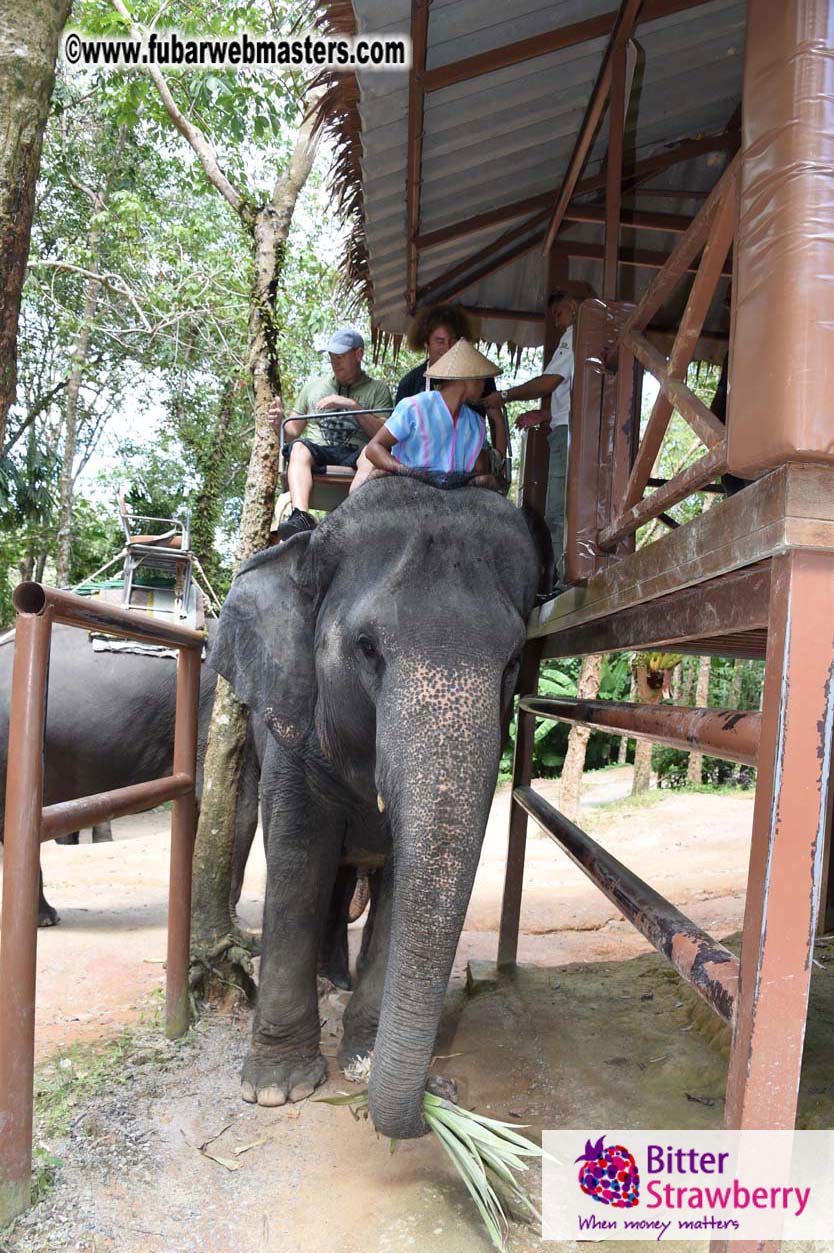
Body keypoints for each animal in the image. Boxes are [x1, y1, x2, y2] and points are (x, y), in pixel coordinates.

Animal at [211, 475, 548, 1140]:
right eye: (367, 648)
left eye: (513, 661)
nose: (440, 1094)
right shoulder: (290, 725)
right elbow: (297, 860)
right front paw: (277, 1090)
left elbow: (401, 878)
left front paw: (361, 1061)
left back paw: (336, 980)